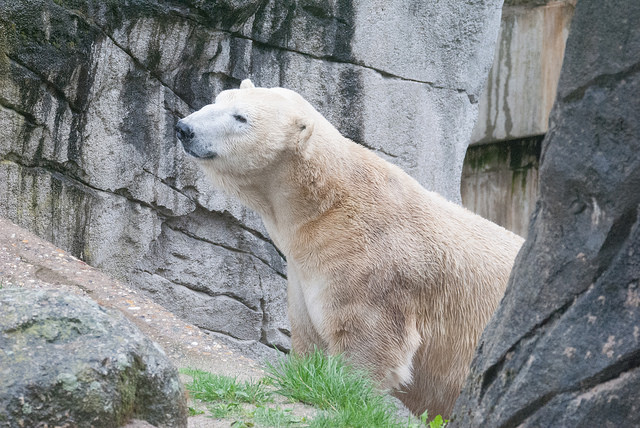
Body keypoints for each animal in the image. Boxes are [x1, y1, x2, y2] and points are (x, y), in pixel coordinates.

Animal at [175, 79, 524, 417]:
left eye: (241, 117)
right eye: (219, 99)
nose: (184, 128)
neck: (325, 203)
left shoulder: (373, 268)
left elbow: (367, 343)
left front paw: (344, 395)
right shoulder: (303, 272)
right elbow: (309, 338)